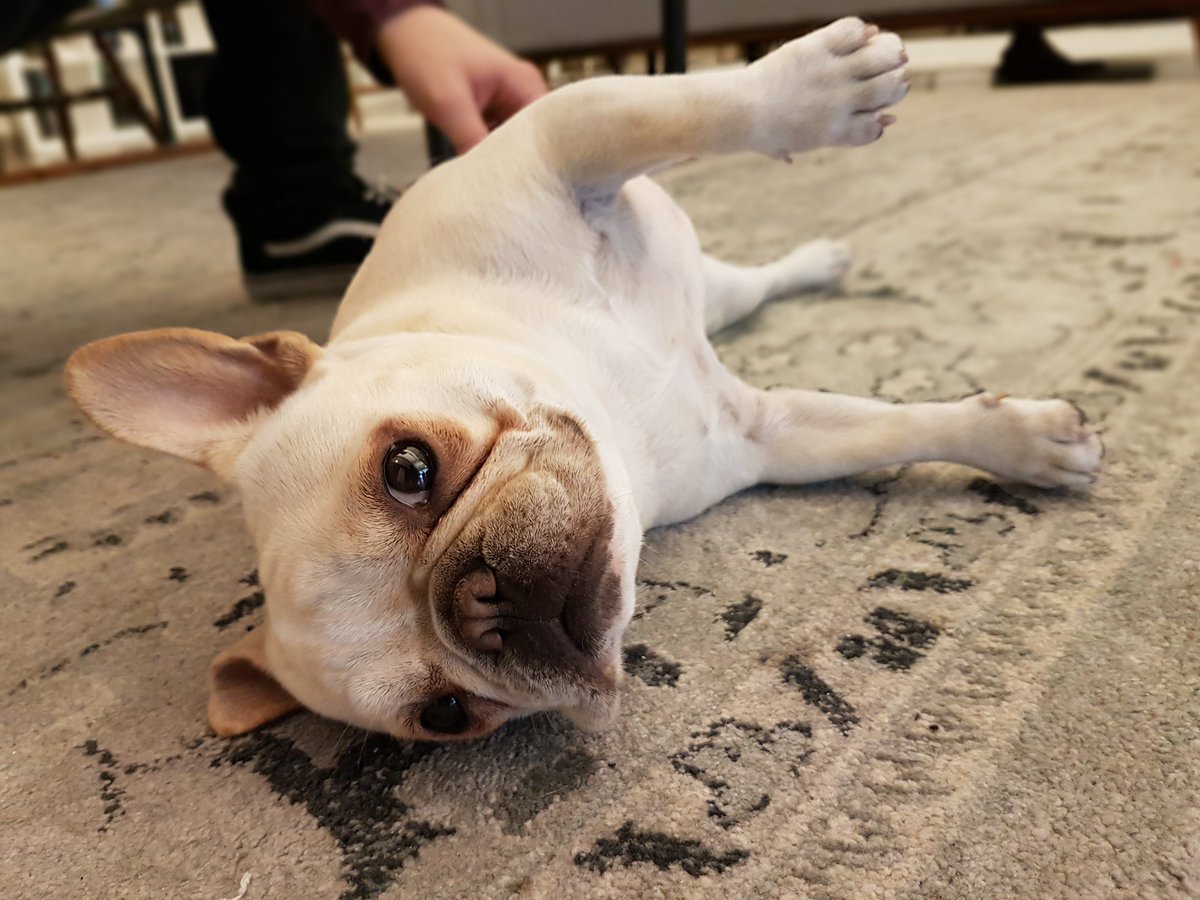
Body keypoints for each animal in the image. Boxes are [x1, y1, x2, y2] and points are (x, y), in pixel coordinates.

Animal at [66, 18, 1103, 742]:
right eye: (445, 715)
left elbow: (676, 105)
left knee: (748, 264)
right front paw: (1026, 443)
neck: (603, 389)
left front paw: (813, 90)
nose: (481, 602)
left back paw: (820, 252)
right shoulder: (763, 435)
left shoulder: (555, 140)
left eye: (408, 468)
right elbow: (890, 427)